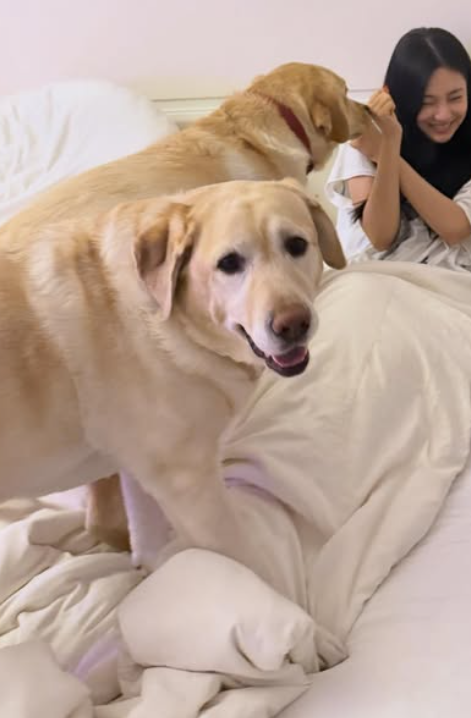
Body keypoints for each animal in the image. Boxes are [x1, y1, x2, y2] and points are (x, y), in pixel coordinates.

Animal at [0, 179, 344, 578]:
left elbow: (144, 537)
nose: (293, 324)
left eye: (297, 245)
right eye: (229, 264)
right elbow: (251, 568)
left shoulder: (145, 476)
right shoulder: (191, 489)